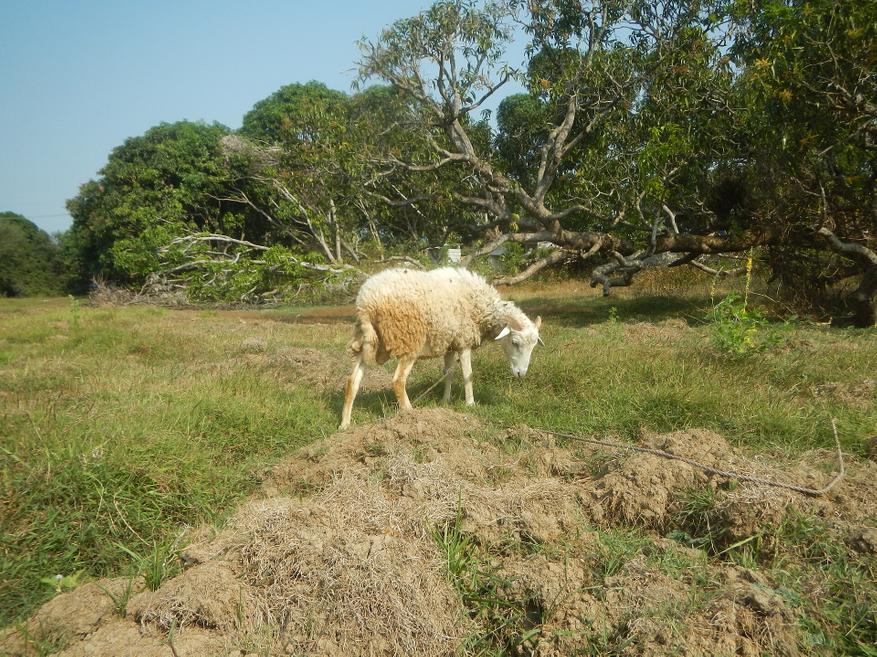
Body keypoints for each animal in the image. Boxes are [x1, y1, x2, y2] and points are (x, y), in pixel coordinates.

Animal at [339, 267, 543, 429]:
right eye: (515, 342)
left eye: (534, 347)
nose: (521, 374)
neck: (482, 308)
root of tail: (366, 303)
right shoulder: (463, 341)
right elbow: (468, 374)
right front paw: (470, 404)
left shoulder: (450, 345)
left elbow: (448, 373)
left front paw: (445, 401)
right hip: (408, 340)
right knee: (398, 381)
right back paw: (411, 413)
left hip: (367, 341)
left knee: (352, 382)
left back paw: (345, 424)